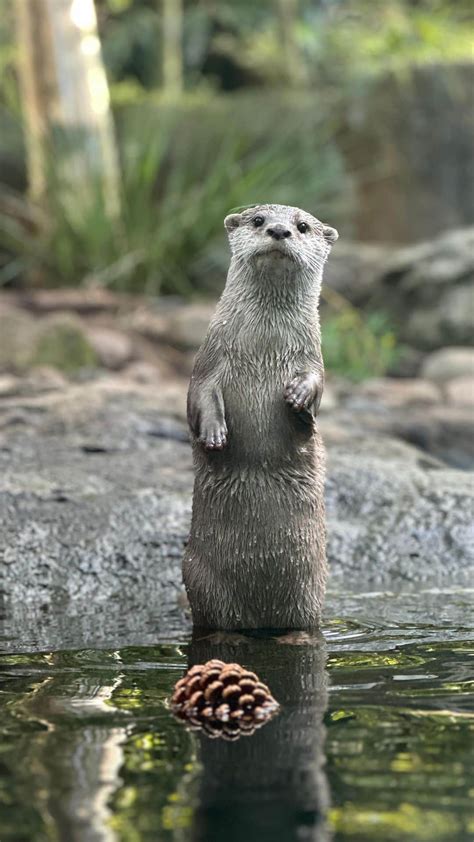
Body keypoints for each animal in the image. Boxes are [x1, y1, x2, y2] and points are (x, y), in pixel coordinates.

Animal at [183, 200, 338, 628]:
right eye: (258, 220)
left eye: (303, 226)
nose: (280, 231)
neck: (264, 345)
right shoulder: (208, 360)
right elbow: (199, 396)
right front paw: (215, 434)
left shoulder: (313, 358)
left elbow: (317, 386)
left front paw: (299, 396)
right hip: (197, 578)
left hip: (313, 588)